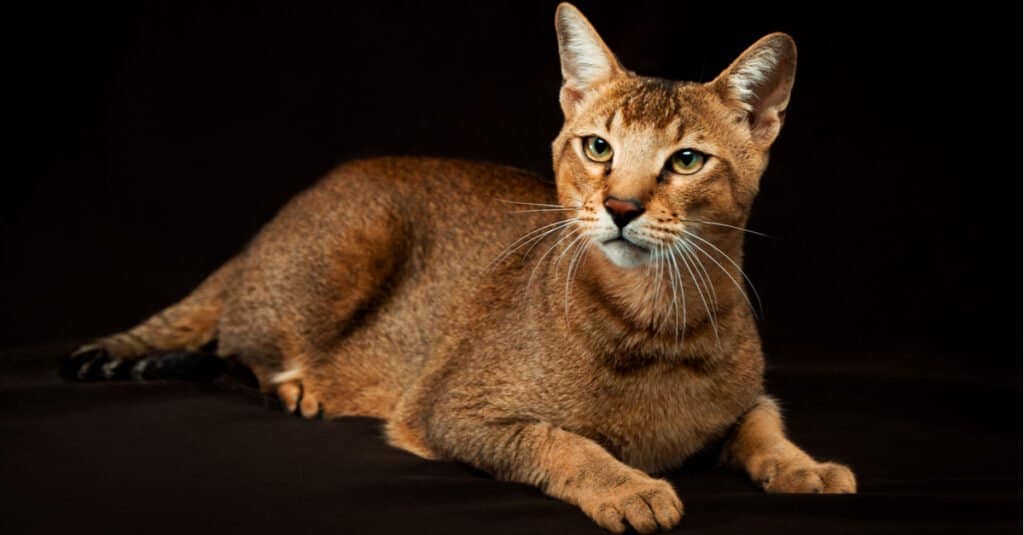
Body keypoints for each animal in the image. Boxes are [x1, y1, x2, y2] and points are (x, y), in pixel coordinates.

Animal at [66, 3, 856, 528]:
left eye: (686, 160)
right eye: (598, 147)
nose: (622, 207)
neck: (660, 322)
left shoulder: (746, 398)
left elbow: (764, 424)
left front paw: (805, 466)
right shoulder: (456, 412)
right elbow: (560, 441)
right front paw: (627, 486)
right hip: (358, 238)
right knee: (239, 346)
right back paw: (298, 388)